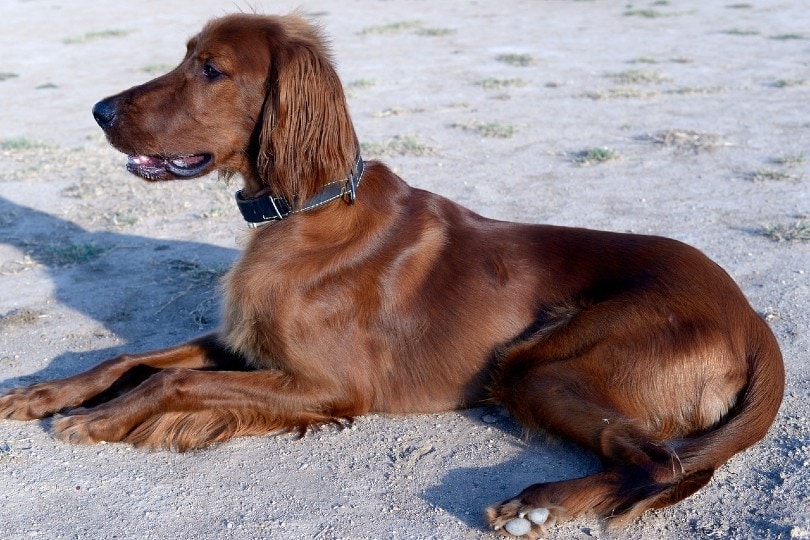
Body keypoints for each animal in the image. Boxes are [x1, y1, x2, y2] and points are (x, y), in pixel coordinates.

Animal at [1, 13, 784, 540]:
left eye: (211, 69)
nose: (99, 109)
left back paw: (538, 504)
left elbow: (171, 381)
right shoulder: (250, 345)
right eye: (185, 56)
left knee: (665, 463)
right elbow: (131, 356)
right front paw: (42, 394)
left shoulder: (328, 385)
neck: (307, 207)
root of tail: (752, 320)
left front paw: (96, 419)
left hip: (540, 365)